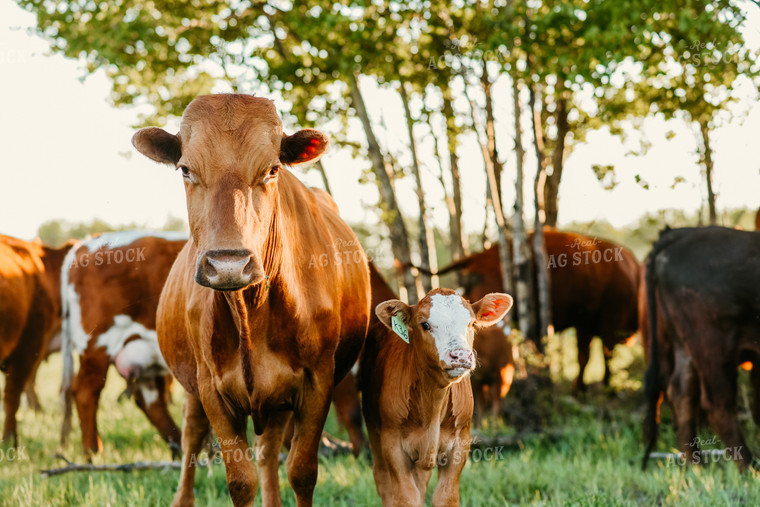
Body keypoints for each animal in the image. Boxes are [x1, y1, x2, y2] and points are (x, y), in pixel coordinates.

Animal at [58, 232, 186, 458]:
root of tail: (88, 242)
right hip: (97, 346)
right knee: (85, 392)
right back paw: (93, 452)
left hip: (144, 353)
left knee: (150, 400)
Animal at [360, 288, 510, 506]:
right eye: (425, 324)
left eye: (472, 323)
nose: (460, 355)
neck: (434, 402)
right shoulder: (392, 443)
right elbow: (406, 496)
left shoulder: (461, 442)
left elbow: (445, 496)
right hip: (374, 428)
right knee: (383, 480)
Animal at [640, 227, 760, 472]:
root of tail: (682, 232)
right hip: (713, 344)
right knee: (717, 402)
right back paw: (749, 467)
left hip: (685, 345)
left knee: (681, 391)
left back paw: (695, 464)